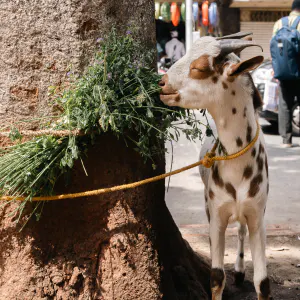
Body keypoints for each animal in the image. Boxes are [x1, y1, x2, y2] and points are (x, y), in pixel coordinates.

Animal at [159, 32, 272, 300]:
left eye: (199, 67)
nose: (162, 82)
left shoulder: (257, 215)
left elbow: (263, 283)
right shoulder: (217, 214)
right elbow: (216, 276)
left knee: (240, 230)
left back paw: (240, 270)